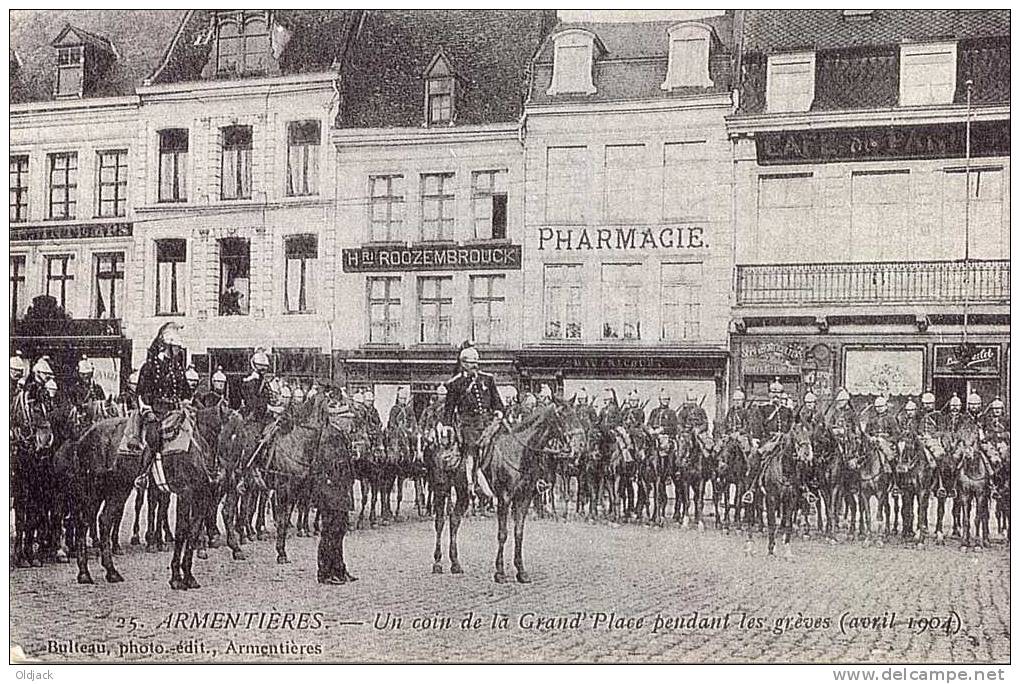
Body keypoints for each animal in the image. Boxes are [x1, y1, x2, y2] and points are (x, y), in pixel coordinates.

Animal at [483, 403, 583, 587]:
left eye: (575, 414)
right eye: (563, 415)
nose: (580, 445)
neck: (518, 452)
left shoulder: (524, 498)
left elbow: (519, 533)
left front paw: (521, 571)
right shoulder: (504, 499)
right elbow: (503, 534)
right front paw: (500, 573)